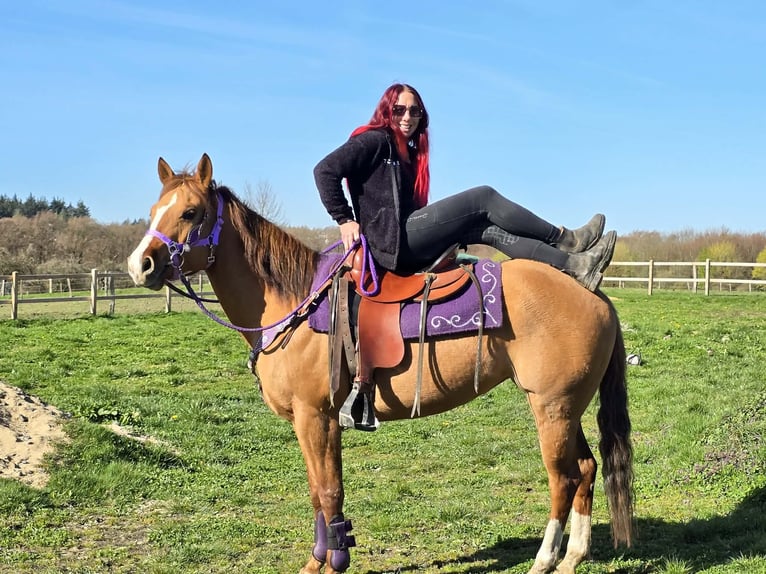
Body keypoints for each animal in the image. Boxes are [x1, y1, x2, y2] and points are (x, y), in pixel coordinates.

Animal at [127, 154, 633, 574]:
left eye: (190, 213)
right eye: (153, 210)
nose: (140, 265)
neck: (295, 302)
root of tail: (591, 292)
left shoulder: (317, 416)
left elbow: (328, 491)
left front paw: (333, 562)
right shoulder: (316, 420)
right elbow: (318, 492)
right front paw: (320, 560)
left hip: (551, 407)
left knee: (563, 478)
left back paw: (545, 560)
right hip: (565, 407)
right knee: (587, 470)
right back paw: (572, 558)